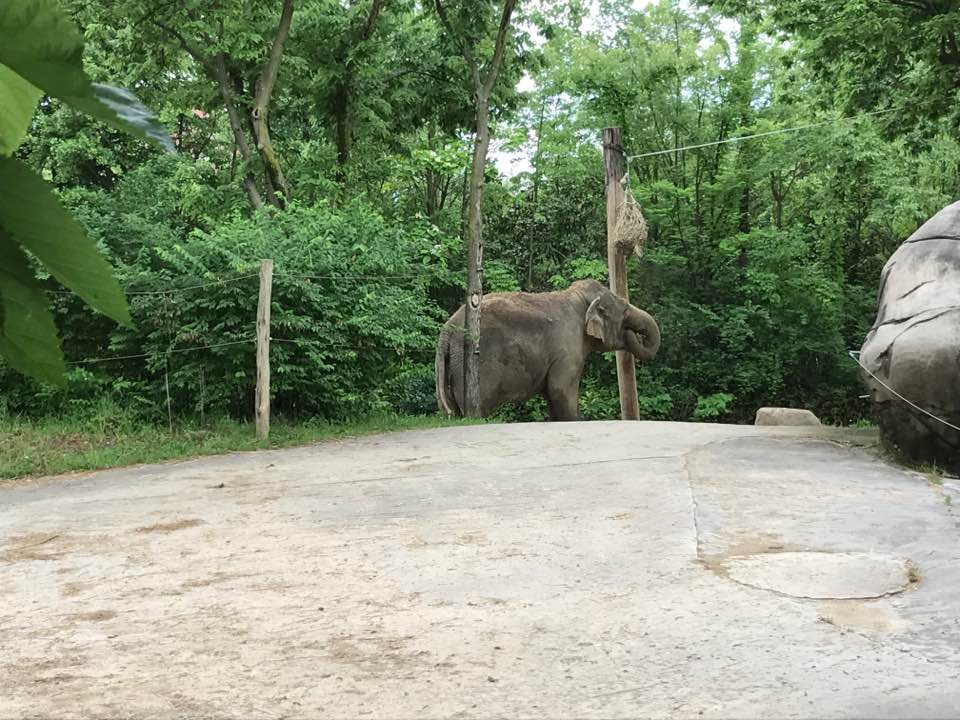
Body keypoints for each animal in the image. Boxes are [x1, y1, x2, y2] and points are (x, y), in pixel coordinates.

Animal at [435, 279, 661, 420]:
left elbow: (552, 395)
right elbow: (559, 389)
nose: (635, 333)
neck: (577, 297)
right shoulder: (568, 350)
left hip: (453, 363)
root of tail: (447, 329)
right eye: (624, 310)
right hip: (472, 363)